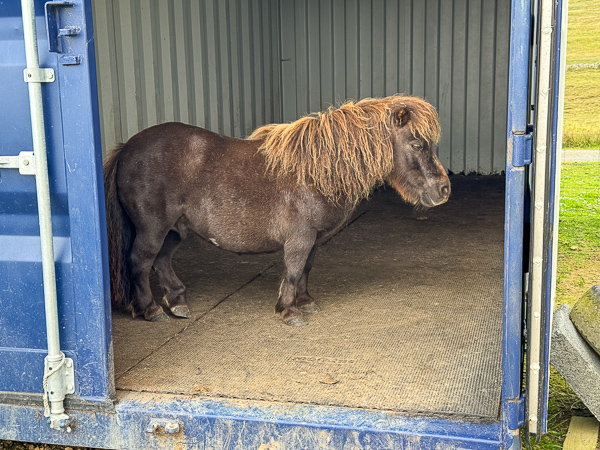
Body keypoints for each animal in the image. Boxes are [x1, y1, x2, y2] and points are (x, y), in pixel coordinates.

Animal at [103, 95, 451, 326]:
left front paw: (305, 302)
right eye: (417, 143)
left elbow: (306, 269)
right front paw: (289, 310)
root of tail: (126, 148)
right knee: (141, 261)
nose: (444, 190)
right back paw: (150, 310)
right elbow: (294, 270)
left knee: (161, 261)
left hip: (176, 229)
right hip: (153, 228)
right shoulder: (300, 238)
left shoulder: (313, 239)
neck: (318, 172)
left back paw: (177, 302)